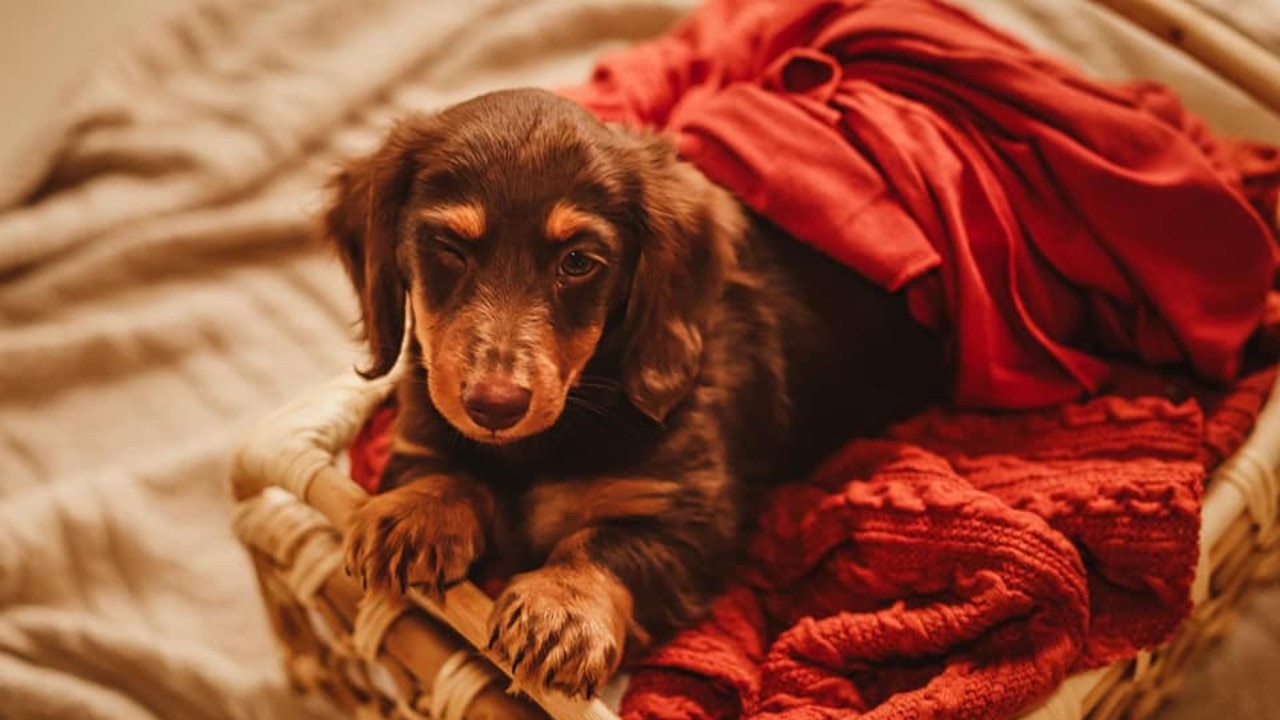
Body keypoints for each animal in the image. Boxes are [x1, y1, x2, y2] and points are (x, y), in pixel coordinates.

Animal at [325, 88, 947, 696]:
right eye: (448, 247)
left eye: (578, 261)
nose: (494, 406)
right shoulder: (421, 433)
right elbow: (443, 469)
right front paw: (417, 512)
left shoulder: (692, 519)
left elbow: (606, 544)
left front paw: (562, 609)